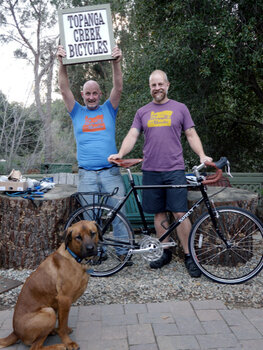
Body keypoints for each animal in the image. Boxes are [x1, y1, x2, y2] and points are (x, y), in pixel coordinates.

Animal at [0, 220, 100, 348]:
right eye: (78, 237)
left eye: (93, 233)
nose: (90, 248)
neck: (75, 258)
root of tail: (15, 332)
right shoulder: (64, 299)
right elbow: (62, 325)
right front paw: (68, 342)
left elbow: (63, 323)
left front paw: (64, 331)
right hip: (49, 312)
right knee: (35, 347)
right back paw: (58, 346)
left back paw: (52, 332)